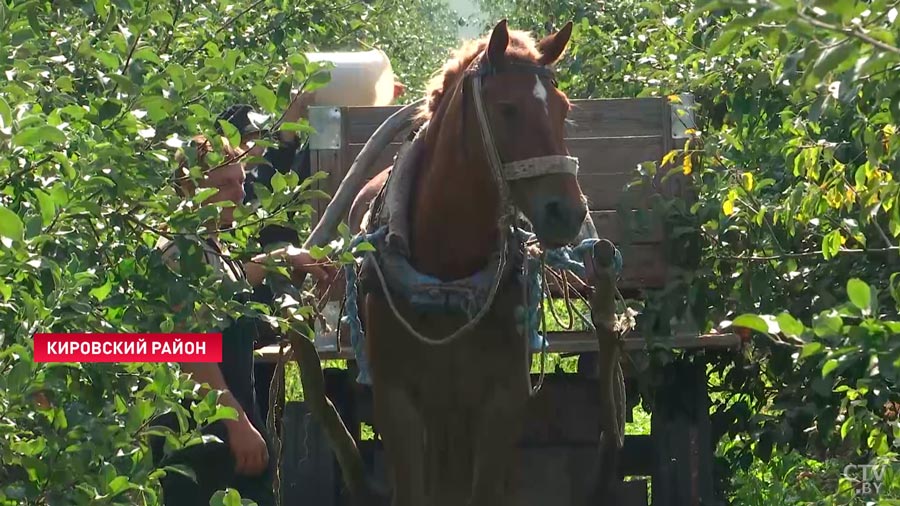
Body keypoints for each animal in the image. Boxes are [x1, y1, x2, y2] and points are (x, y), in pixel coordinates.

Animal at [342, 19, 584, 506]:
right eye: (507, 109)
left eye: (563, 110)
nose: (568, 212)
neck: (448, 277)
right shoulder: (396, 402)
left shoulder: (502, 400)